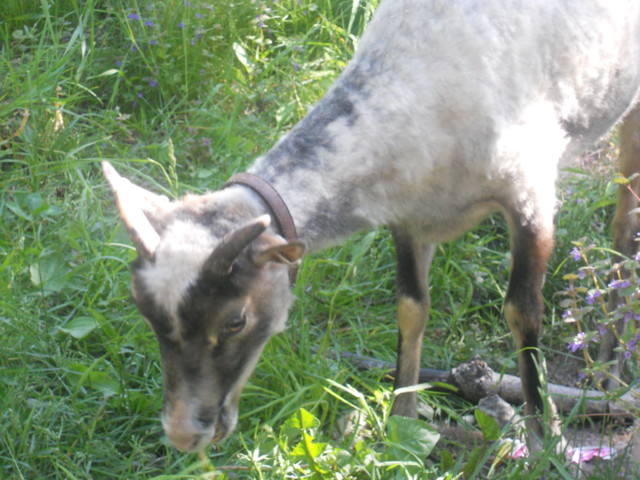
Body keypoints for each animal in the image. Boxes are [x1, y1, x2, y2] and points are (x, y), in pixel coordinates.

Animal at [105, 0, 640, 452]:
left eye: (235, 320)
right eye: (144, 313)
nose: (181, 435)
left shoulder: (530, 192)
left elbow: (522, 311)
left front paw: (545, 442)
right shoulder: (408, 215)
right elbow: (411, 309)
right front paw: (402, 424)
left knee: (625, 226)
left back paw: (610, 372)